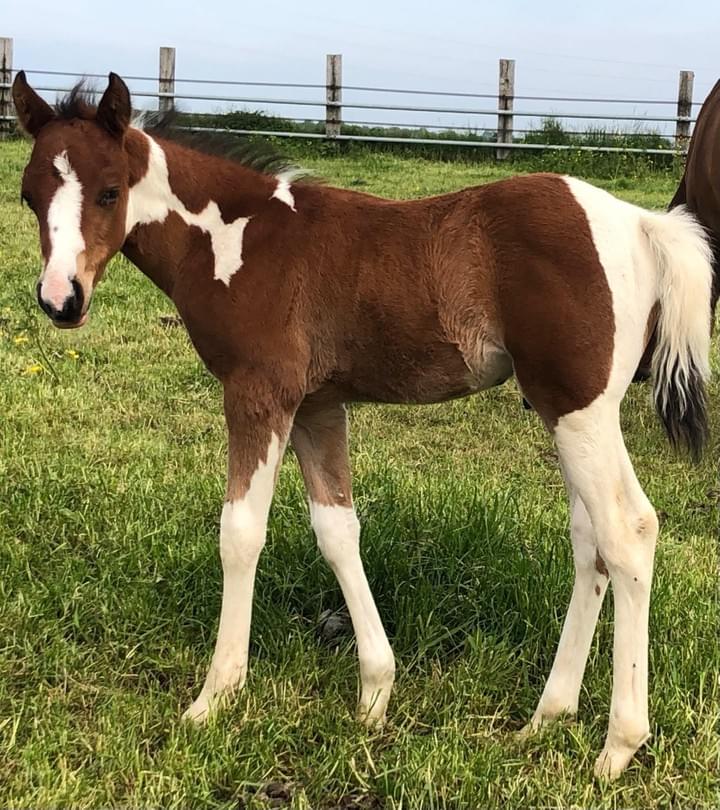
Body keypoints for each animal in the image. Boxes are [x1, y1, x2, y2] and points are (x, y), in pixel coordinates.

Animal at [12, 71, 713, 780]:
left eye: (109, 191)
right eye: (27, 196)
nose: (61, 299)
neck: (236, 240)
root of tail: (641, 223)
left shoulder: (259, 393)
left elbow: (240, 534)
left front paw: (215, 699)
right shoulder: (316, 405)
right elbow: (337, 531)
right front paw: (375, 693)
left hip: (578, 408)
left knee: (626, 533)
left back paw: (616, 748)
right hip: (567, 411)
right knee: (591, 538)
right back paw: (545, 719)